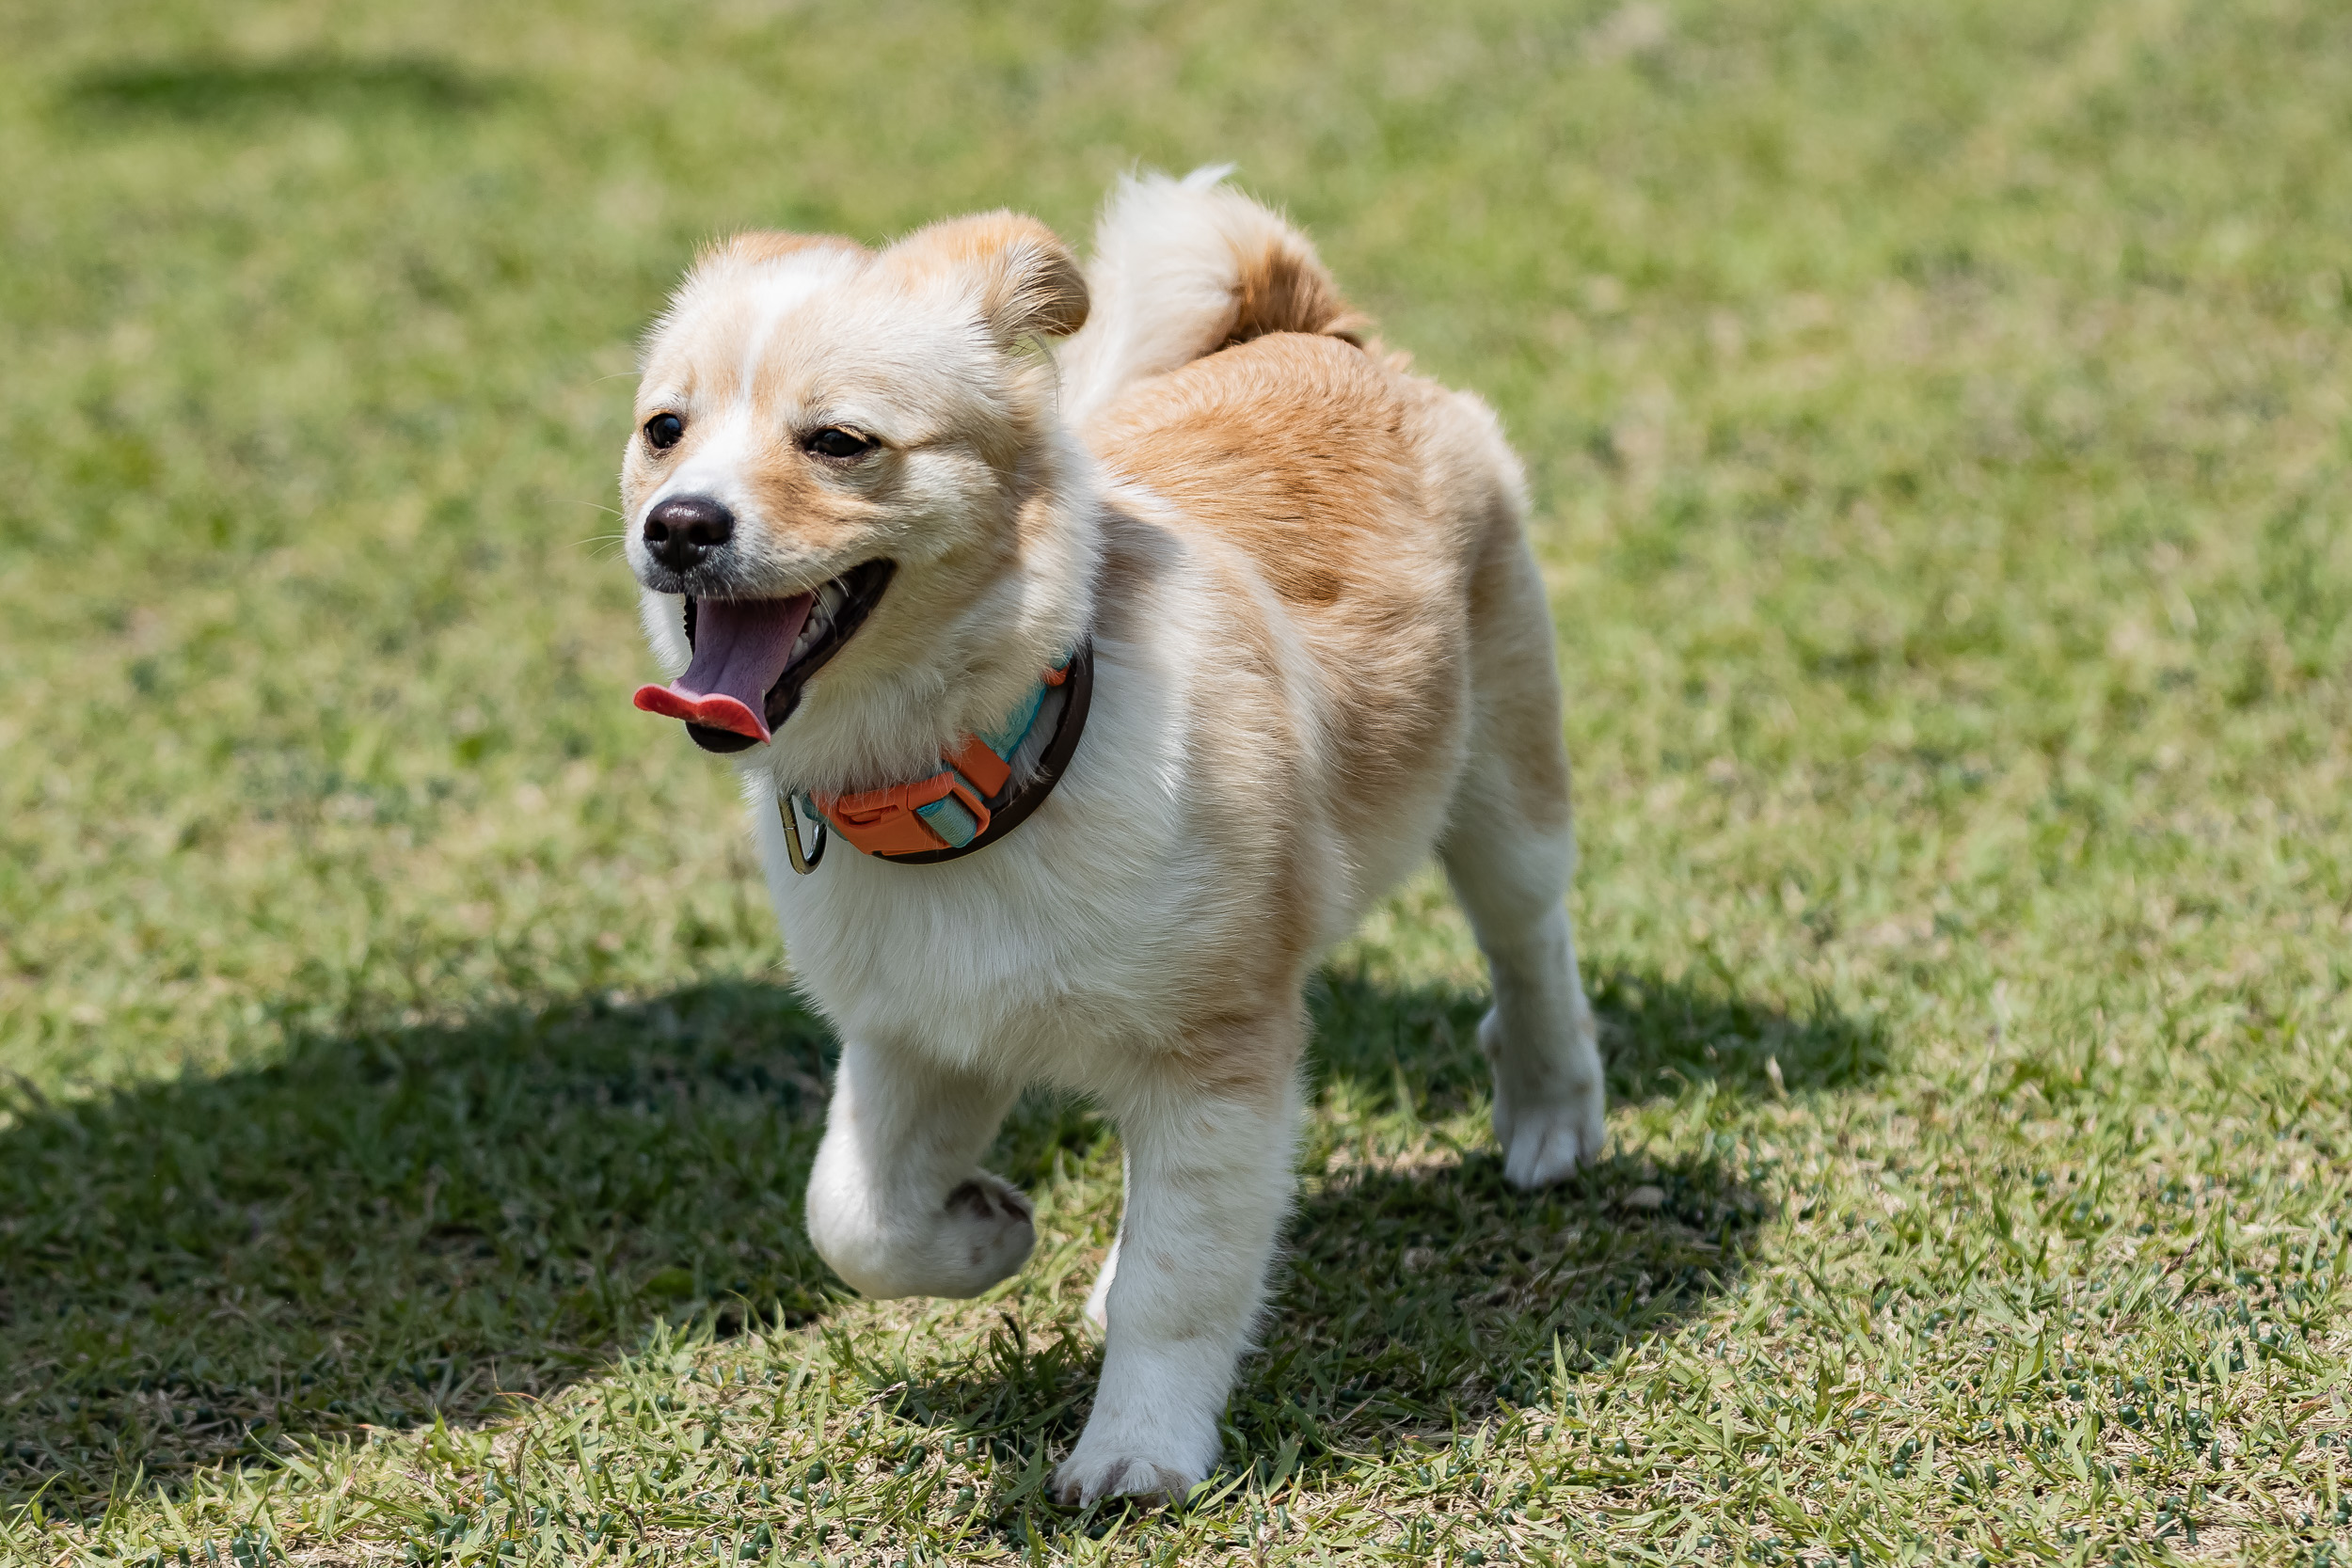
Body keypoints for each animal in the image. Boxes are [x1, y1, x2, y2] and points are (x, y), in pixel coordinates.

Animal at [616, 171, 1609, 1504]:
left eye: (838, 442)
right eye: (665, 430)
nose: (678, 525)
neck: (973, 768)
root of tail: (1315, 328)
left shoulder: (1217, 1053)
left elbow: (1176, 1286)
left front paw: (1138, 1452)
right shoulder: (917, 1031)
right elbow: (855, 1220)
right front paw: (987, 1228)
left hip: (1498, 775)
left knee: (1528, 935)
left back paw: (1551, 1108)